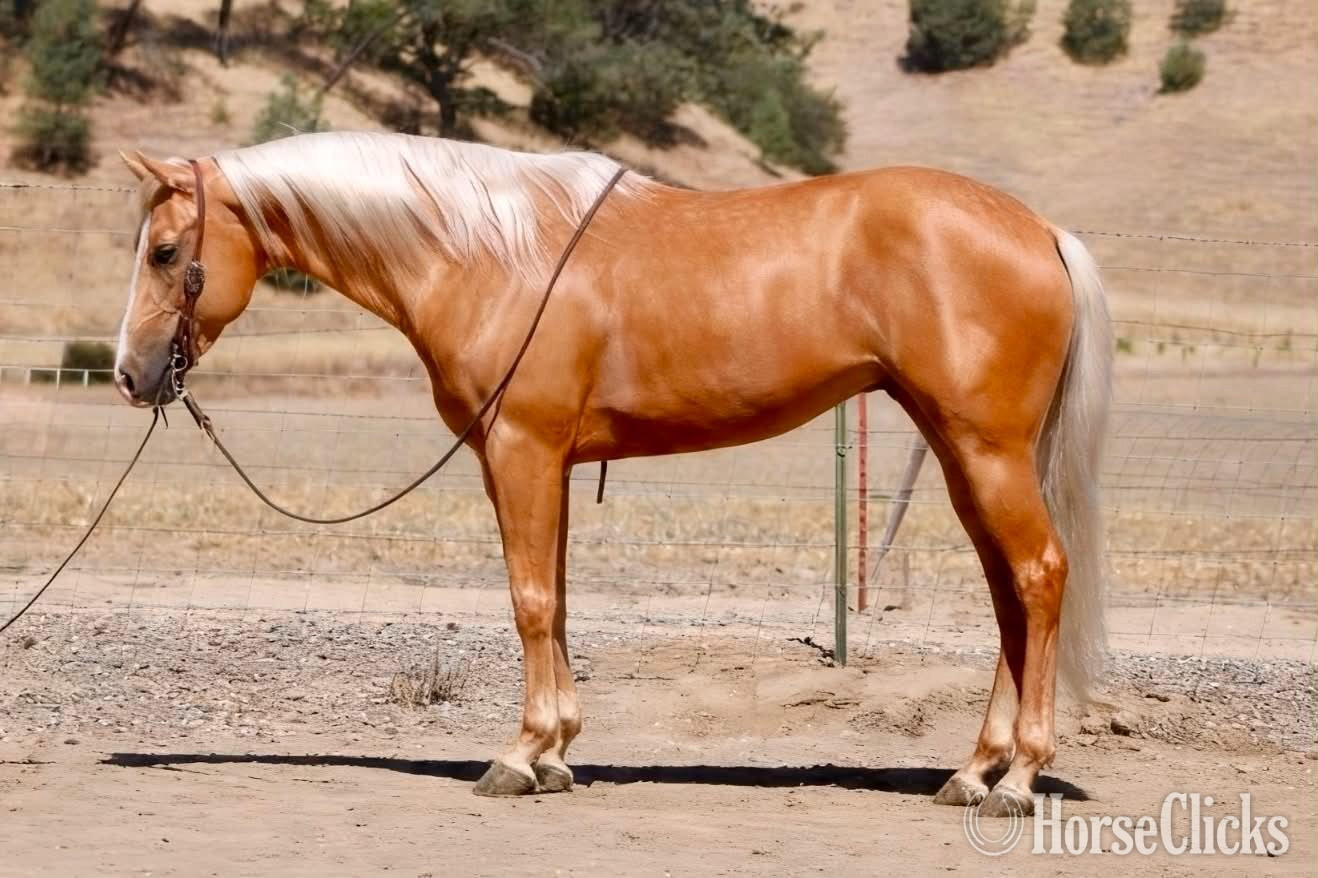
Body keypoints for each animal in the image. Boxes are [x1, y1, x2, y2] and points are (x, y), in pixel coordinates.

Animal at [113, 131, 1110, 814]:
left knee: (1038, 577)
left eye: (164, 252)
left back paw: (1018, 776)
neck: (489, 251)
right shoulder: (544, 463)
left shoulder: (520, 451)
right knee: (1008, 596)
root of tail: (1042, 230)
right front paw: (557, 752)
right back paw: (974, 771)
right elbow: (553, 599)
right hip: (962, 455)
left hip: (985, 453)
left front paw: (519, 757)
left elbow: (529, 601)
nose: (129, 373)